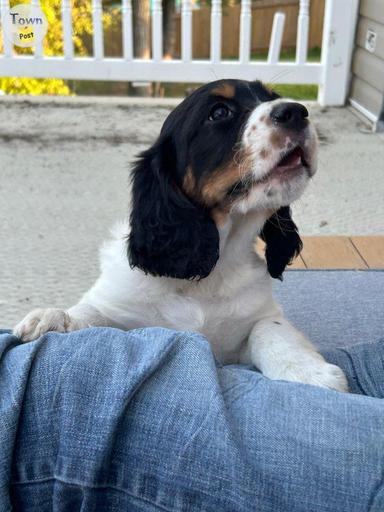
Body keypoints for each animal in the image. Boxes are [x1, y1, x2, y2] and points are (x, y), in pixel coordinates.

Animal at [13, 80, 348, 392]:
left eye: (272, 97)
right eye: (219, 113)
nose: (296, 111)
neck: (212, 267)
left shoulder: (256, 317)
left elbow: (271, 329)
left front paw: (309, 373)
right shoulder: (123, 310)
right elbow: (91, 312)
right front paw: (54, 320)